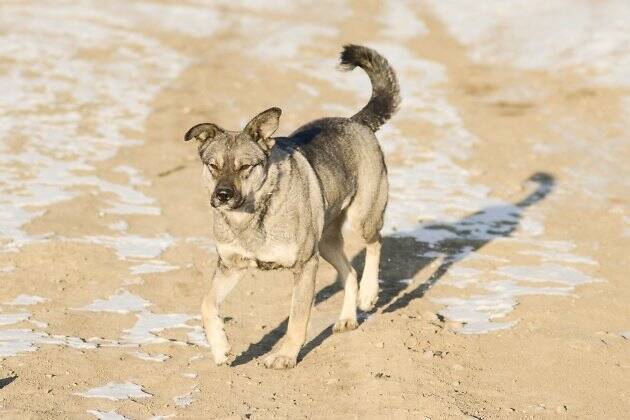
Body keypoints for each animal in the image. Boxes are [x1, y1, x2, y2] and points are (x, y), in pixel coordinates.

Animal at [185, 44, 400, 370]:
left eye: (245, 167)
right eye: (213, 166)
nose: (222, 195)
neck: (253, 215)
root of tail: (356, 122)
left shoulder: (305, 266)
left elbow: (297, 320)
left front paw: (285, 356)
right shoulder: (231, 266)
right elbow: (207, 303)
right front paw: (221, 348)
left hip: (362, 218)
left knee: (375, 243)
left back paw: (368, 295)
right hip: (326, 242)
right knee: (349, 272)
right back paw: (347, 318)